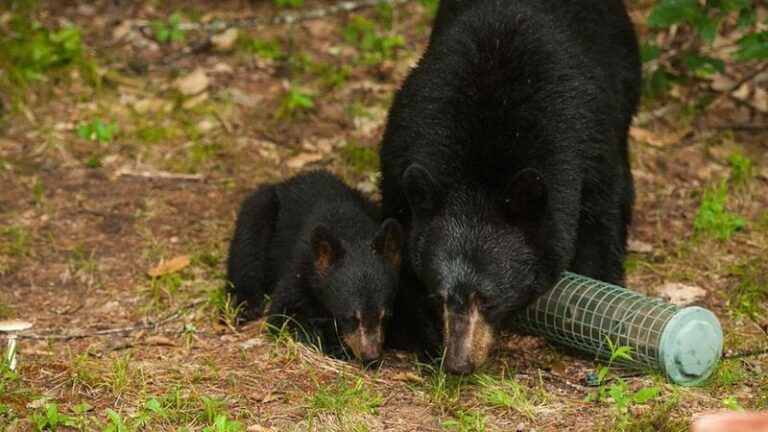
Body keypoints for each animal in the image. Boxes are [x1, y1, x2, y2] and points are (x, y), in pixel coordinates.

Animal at [226, 170, 403, 362]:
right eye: (351, 317)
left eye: (385, 316)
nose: (371, 356)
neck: (347, 229)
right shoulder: (301, 268)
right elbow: (282, 314)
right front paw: (332, 342)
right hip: (261, 206)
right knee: (248, 243)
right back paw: (246, 305)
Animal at [380, 0, 641, 374]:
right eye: (440, 295)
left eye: (488, 300)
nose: (459, 363)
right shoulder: (402, 149)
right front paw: (422, 331)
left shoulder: (588, 146)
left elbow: (600, 224)